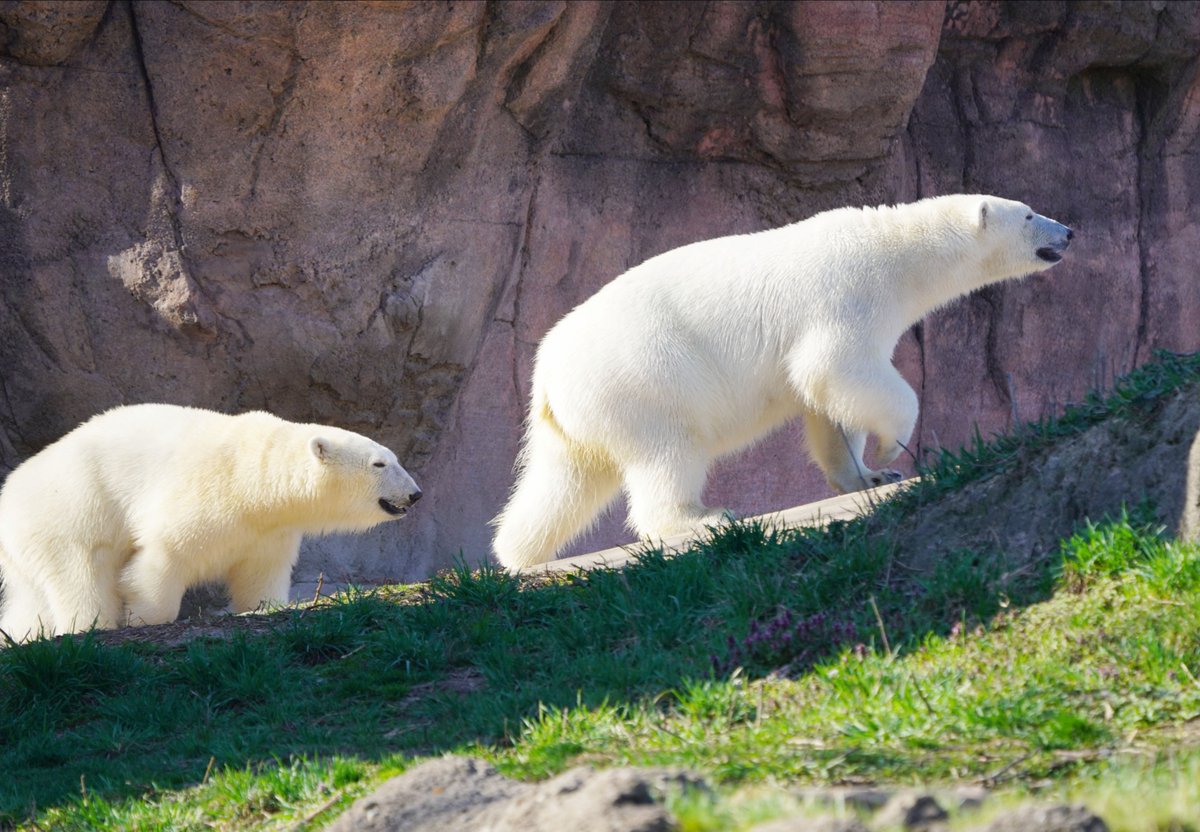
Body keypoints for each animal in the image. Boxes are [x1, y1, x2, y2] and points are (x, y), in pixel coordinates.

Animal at [0, 404, 422, 642]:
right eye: (379, 464)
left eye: (395, 459)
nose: (415, 494)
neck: (255, 477)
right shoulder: (207, 491)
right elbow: (164, 555)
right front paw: (146, 618)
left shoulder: (269, 530)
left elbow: (260, 572)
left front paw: (260, 607)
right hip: (68, 513)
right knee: (82, 574)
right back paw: (90, 626)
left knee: (31, 601)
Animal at [492, 194, 1073, 569]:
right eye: (1027, 213)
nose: (1069, 231)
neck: (898, 249)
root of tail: (547, 378)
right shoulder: (847, 294)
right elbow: (837, 368)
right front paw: (892, 451)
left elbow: (827, 406)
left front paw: (868, 475)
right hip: (645, 378)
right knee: (667, 453)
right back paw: (702, 519)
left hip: (582, 415)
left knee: (564, 482)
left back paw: (517, 552)